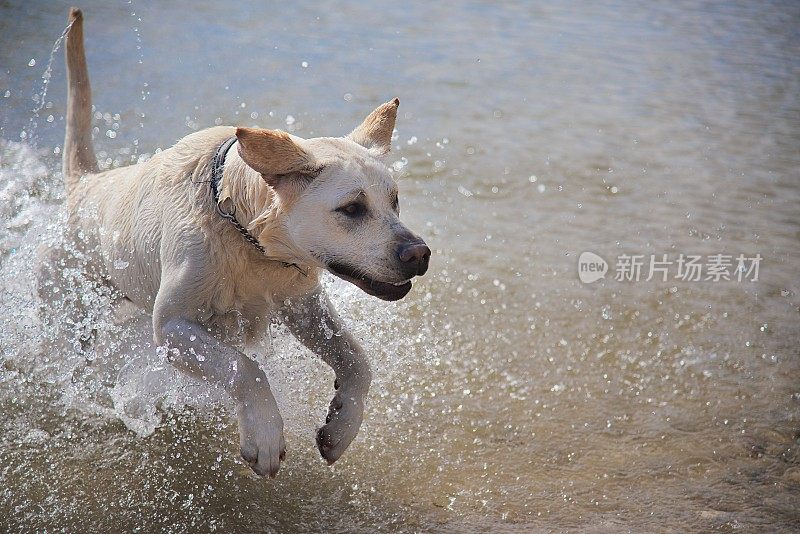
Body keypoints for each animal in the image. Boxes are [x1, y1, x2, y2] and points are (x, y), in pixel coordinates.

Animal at [54, 7, 432, 478]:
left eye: (395, 200)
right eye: (351, 208)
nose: (420, 254)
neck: (247, 239)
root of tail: (85, 184)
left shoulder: (302, 305)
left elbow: (358, 360)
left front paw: (341, 427)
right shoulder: (172, 327)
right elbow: (244, 367)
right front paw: (266, 437)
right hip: (72, 308)